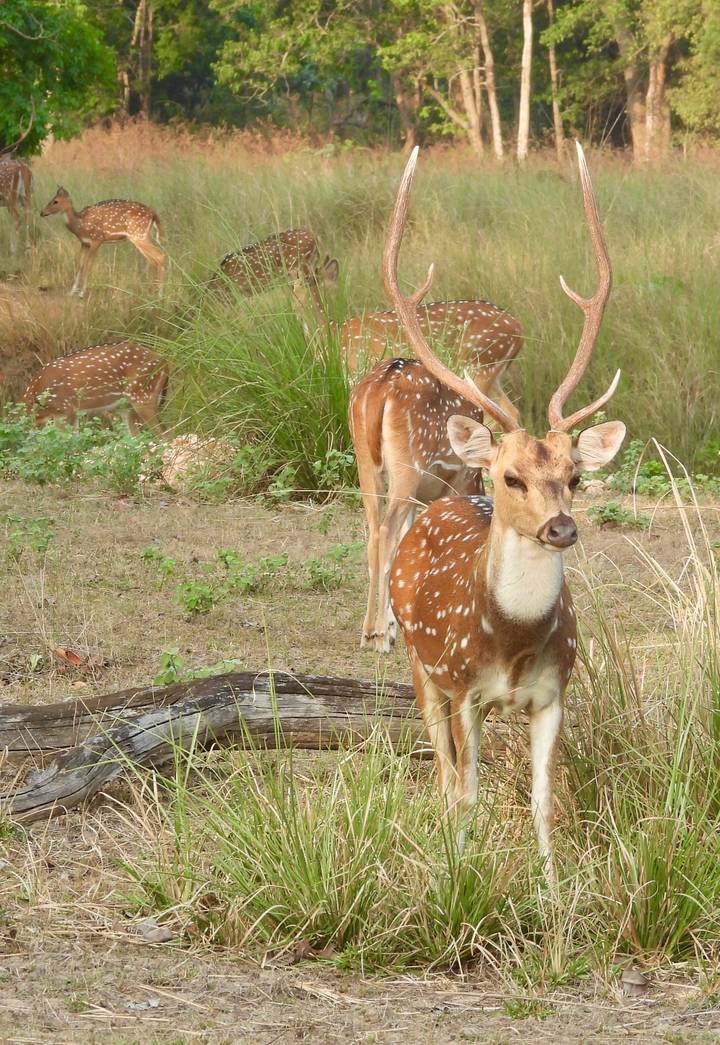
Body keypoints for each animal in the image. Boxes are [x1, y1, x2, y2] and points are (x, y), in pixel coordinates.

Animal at [383, 143, 626, 878]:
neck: (511, 643)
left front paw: (550, 889)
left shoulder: (554, 692)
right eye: (511, 475)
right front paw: (462, 880)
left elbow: (544, 800)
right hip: (420, 666)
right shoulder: (463, 686)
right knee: (442, 774)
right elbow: (467, 793)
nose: (561, 526)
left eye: (575, 475)